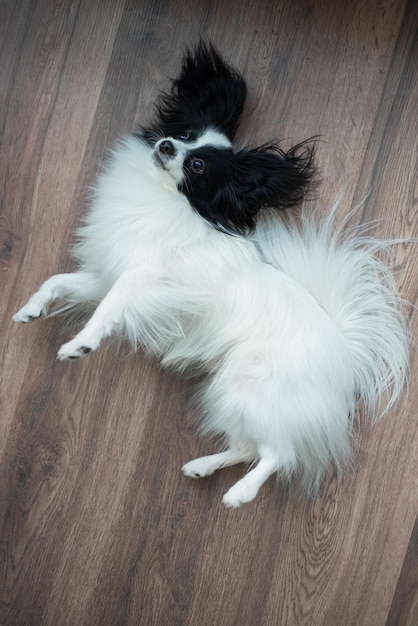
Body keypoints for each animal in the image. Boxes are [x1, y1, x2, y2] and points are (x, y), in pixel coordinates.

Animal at [14, 44, 410, 504]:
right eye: (185, 133)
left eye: (198, 166)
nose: (167, 145)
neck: (163, 199)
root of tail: (344, 349)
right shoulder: (104, 274)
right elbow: (57, 282)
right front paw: (31, 310)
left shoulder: (146, 281)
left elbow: (110, 307)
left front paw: (81, 344)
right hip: (232, 391)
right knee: (248, 446)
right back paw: (203, 467)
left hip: (249, 384)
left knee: (279, 453)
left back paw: (240, 493)